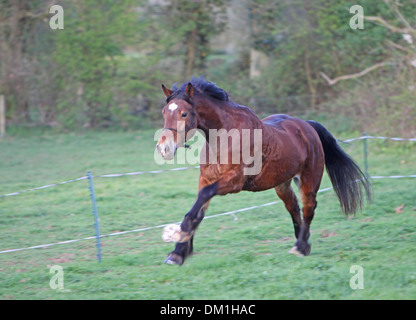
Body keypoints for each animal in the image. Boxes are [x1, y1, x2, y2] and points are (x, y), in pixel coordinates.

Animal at [156, 77, 370, 264]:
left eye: (184, 113)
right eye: (164, 112)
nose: (163, 148)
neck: (224, 136)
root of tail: (307, 126)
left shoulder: (233, 182)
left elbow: (200, 203)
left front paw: (179, 233)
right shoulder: (206, 179)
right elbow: (199, 211)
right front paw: (178, 253)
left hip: (309, 179)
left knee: (308, 208)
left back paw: (300, 247)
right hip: (282, 184)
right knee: (294, 207)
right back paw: (302, 241)